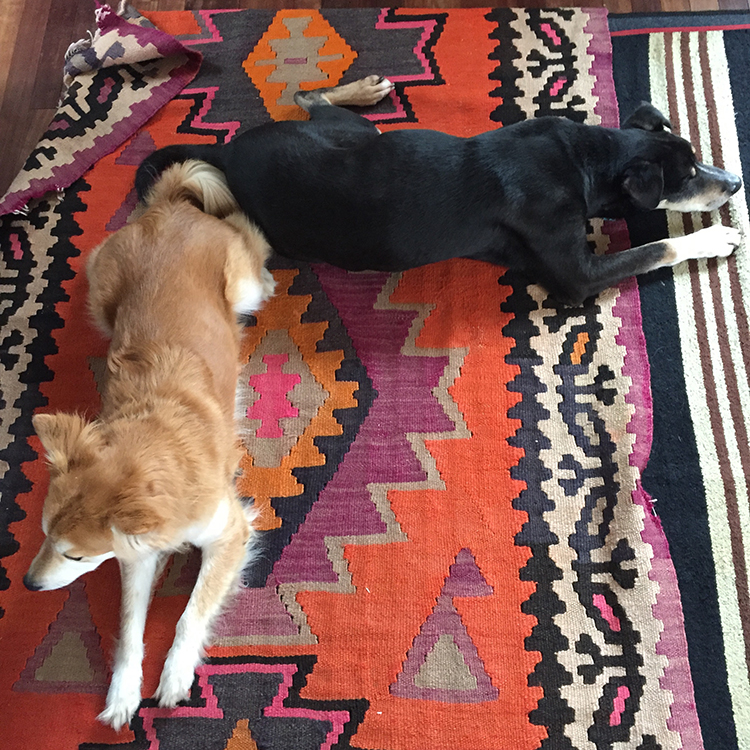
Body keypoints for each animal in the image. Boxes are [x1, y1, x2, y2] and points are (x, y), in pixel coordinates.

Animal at [23, 160, 275, 730]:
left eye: (75, 556)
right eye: (44, 535)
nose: (29, 586)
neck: (151, 448)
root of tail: (169, 209)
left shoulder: (230, 531)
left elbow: (190, 613)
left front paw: (176, 674)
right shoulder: (136, 556)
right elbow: (128, 630)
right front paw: (122, 693)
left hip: (244, 286)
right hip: (99, 297)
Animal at [135, 75, 743, 305]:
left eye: (696, 157)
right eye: (688, 175)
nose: (735, 182)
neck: (586, 159)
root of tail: (228, 153)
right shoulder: (576, 276)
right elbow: (656, 248)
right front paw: (715, 237)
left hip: (356, 133)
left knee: (307, 98)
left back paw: (365, 86)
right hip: (351, 146)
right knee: (309, 100)